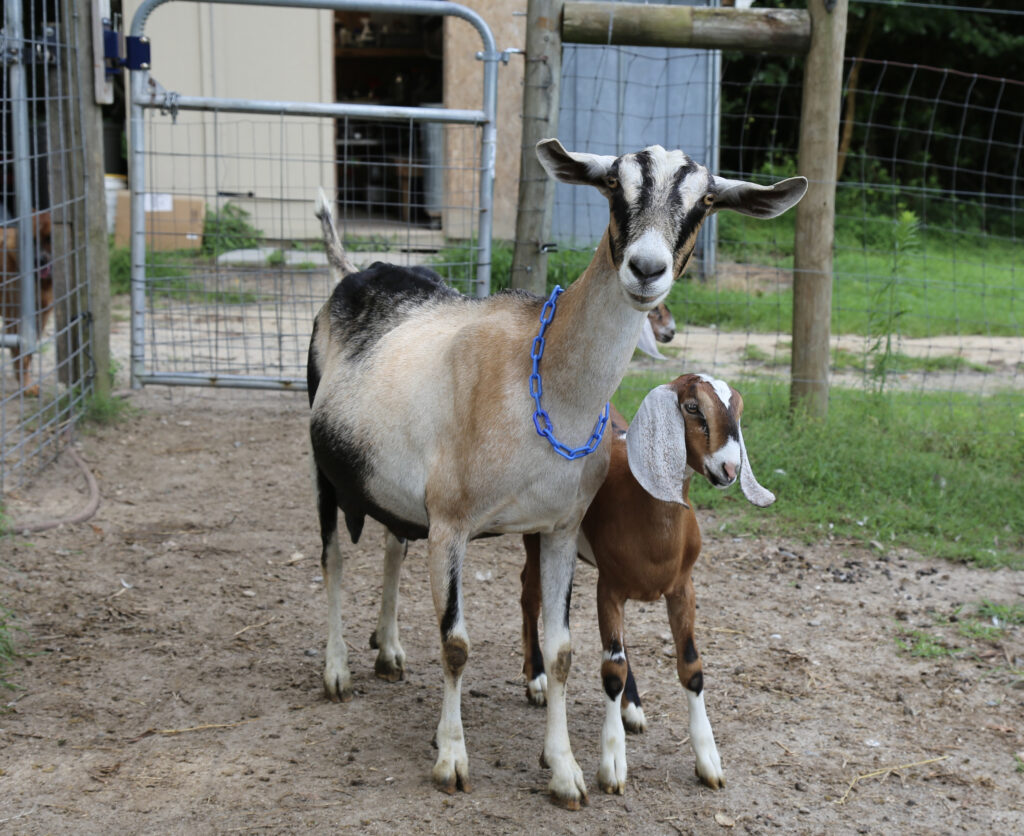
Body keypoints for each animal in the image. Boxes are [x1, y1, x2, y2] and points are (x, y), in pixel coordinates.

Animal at [1, 211, 53, 396]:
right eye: (33, 241)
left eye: (51, 239)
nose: (40, 260)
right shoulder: (16, 318)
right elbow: (21, 355)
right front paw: (26, 386)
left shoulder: (40, 316)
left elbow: (28, 354)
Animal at [520, 373, 774, 794]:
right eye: (692, 407)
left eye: (737, 408)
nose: (730, 467)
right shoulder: (609, 589)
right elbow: (611, 671)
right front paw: (612, 766)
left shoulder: (682, 588)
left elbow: (690, 666)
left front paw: (709, 761)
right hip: (538, 536)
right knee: (530, 595)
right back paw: (537, 680)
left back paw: (633, 707)